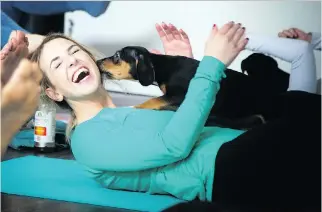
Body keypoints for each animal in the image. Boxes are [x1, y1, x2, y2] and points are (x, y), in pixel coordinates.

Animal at [96, 46, 284, 129]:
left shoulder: (181, 95)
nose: (97, 62)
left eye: (117, 55)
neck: (161, 67)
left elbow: (150, 102)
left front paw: (130, 108)